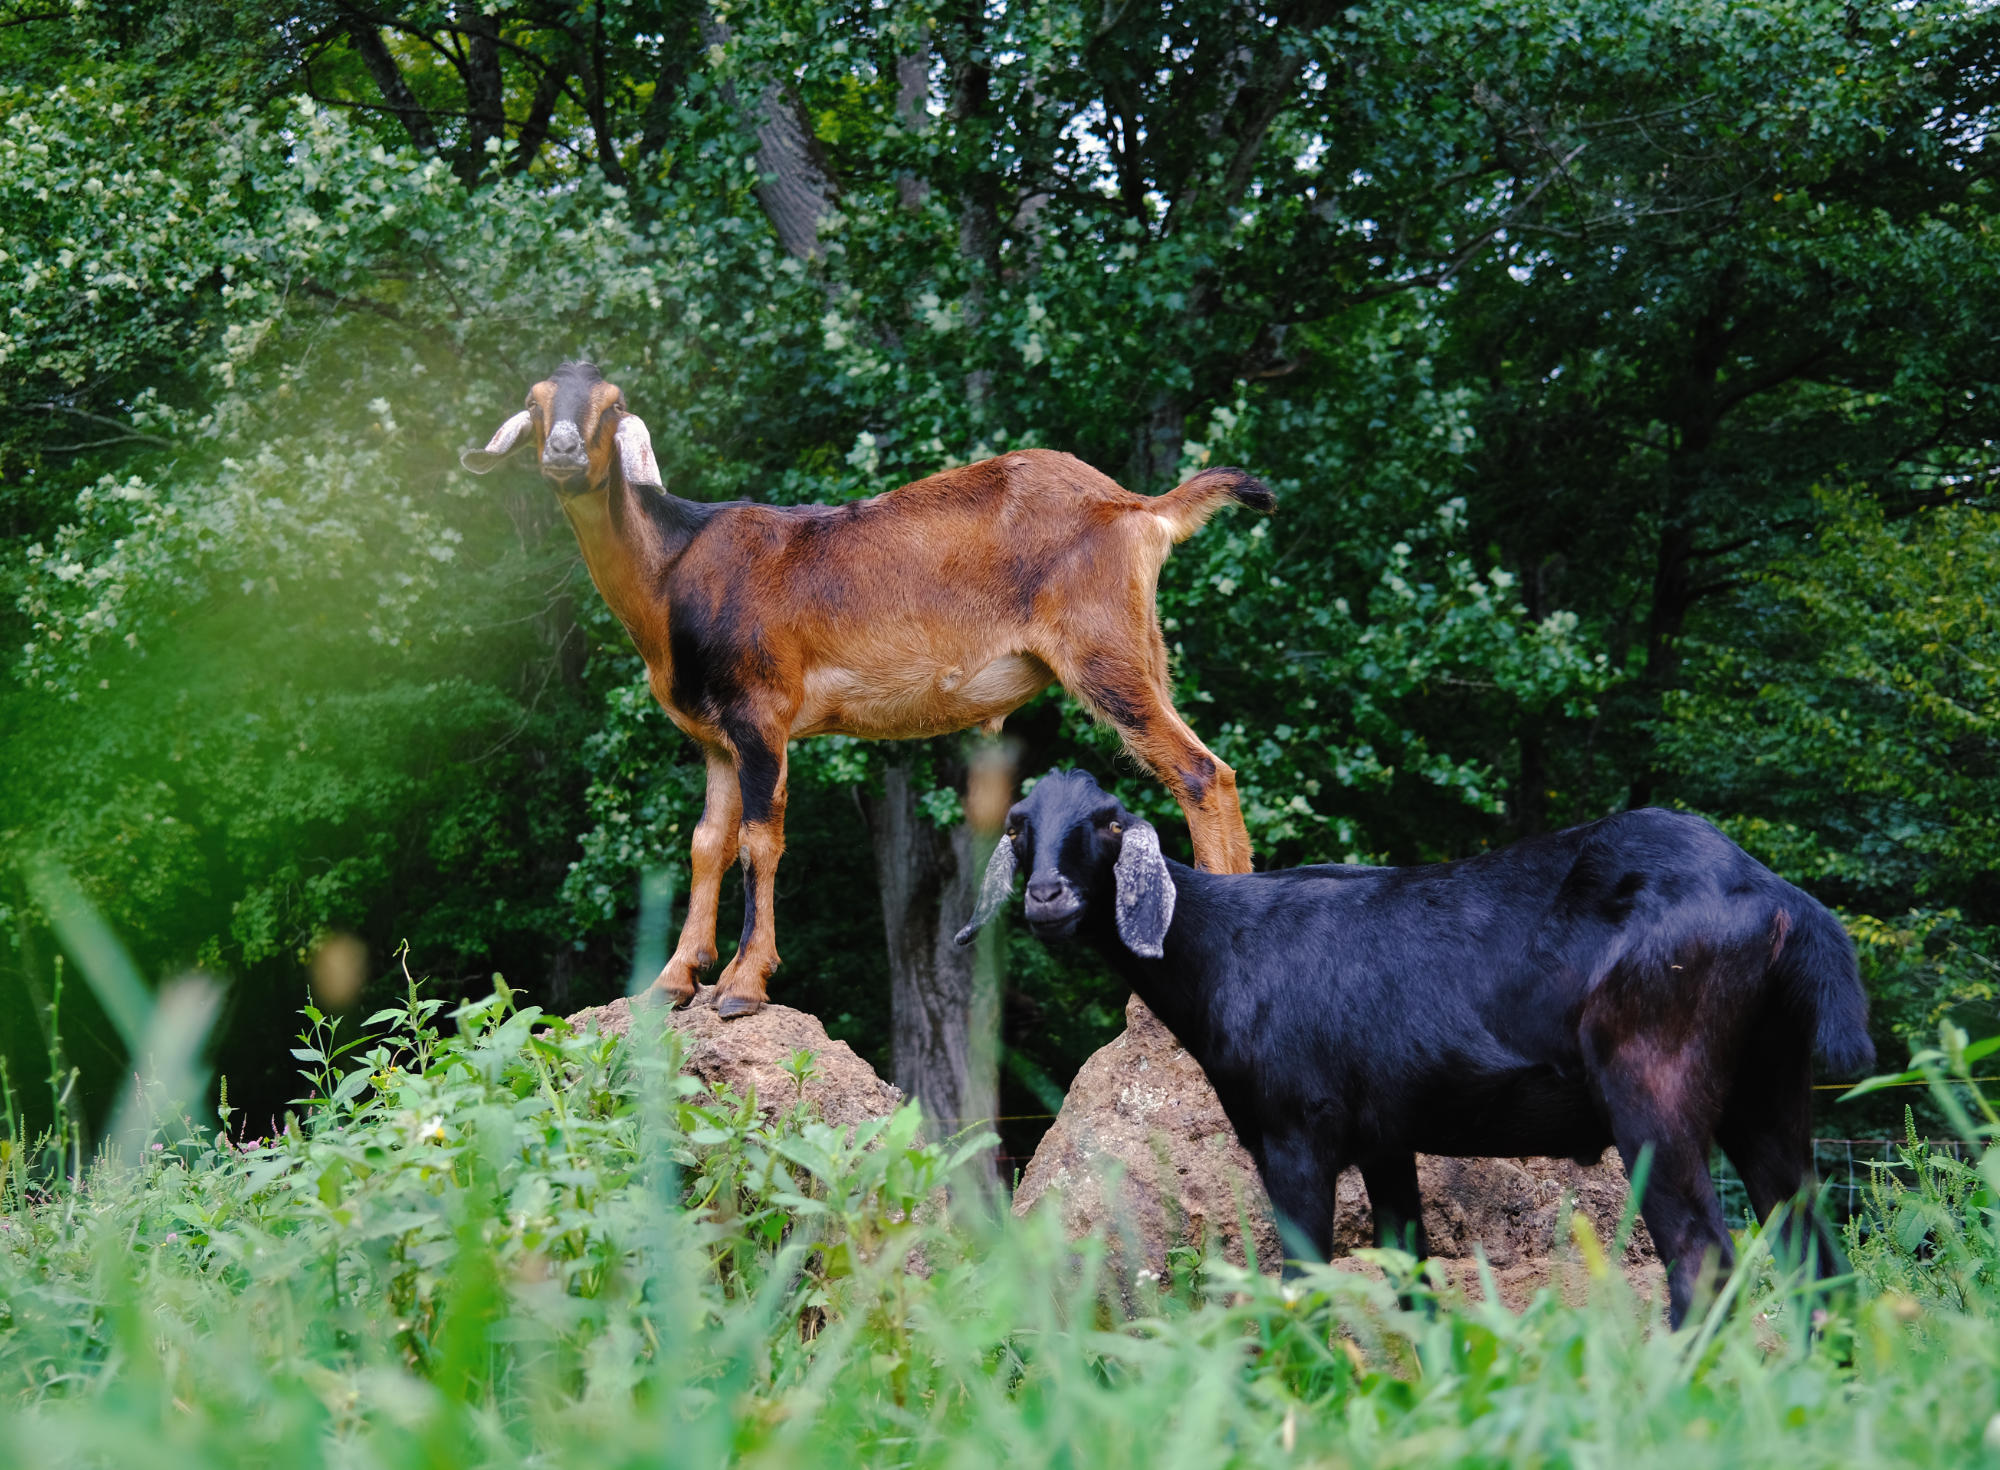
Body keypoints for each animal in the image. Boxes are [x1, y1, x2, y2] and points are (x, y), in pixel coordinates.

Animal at [463, 363, 1271, 1017]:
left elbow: (760, 840)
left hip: (1104, 655)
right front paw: (672, 981)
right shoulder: (715, 739)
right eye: (536, 404)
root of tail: (1137, 506)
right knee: (1215, 769)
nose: (563, 452)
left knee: (1200, 772)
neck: (674, 569)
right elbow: (707, 844)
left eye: (611, 406)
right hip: (1143, 651)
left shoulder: (762, 716)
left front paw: (741, 985)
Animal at [958, 768, 1877, 1327]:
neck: (1225, 946)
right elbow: (1411, 1275)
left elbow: (1300, 1278)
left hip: (1656, 1085)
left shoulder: (1296, 1133)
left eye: (1107, 825)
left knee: (1701, 1260)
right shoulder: (1385, 1139)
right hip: (1769, 1092)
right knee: (1816, 1255)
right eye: (1021, 826)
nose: (1046, 897)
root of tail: (1774, 893)